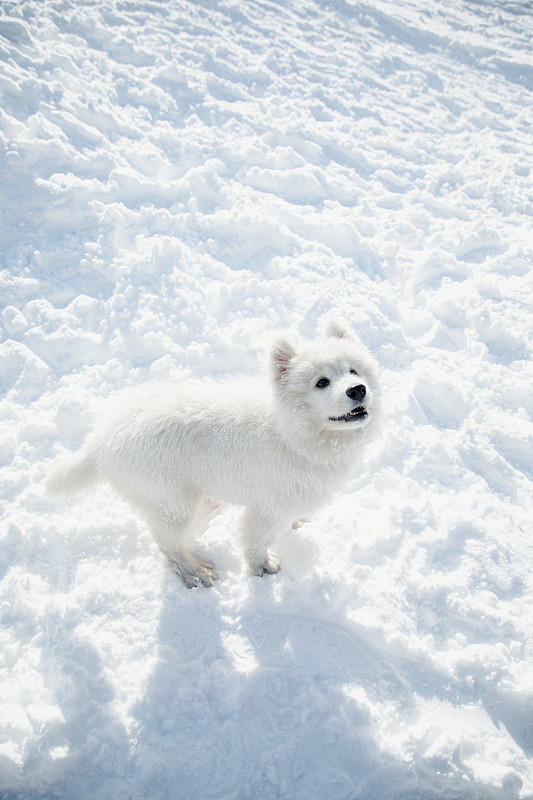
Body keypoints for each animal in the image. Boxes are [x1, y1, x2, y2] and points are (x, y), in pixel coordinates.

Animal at [45, 318, 378, 588]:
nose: (357, 389)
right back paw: (194, 573)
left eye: (353, 370)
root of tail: (99, 442)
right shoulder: (268, 505)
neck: (291, 432)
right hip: (172, 501)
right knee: (168, 543)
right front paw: (262, 567)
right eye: (321, 382)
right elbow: (256, 539)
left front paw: (296, 523)